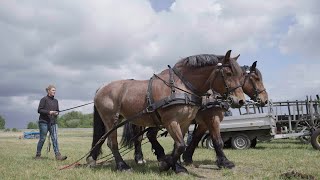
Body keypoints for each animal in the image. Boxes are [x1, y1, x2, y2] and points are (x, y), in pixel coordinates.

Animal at [85, 49, 245, 173]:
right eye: (228, 73)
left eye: (242, 76)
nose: (240, 101)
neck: (182, 87)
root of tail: (101, 87)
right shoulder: (173, 121)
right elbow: (181, 145)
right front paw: (165, 164)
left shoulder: (185, 122)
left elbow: (179, 145)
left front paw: (177, 166)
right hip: (111, 119)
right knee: (112, 143)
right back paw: (122, 166)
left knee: (103, 138)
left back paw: (92, 160)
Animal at [122, 60, 268, 172]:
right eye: (256, 79)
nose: (265, 100)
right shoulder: (212, 119)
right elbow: (217, 141)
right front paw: (225, 162)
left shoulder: (203, 123)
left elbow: (196, 139)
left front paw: (187, 158)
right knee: (141, 137)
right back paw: (142, 158)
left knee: (148, 136)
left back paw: (160, 156)